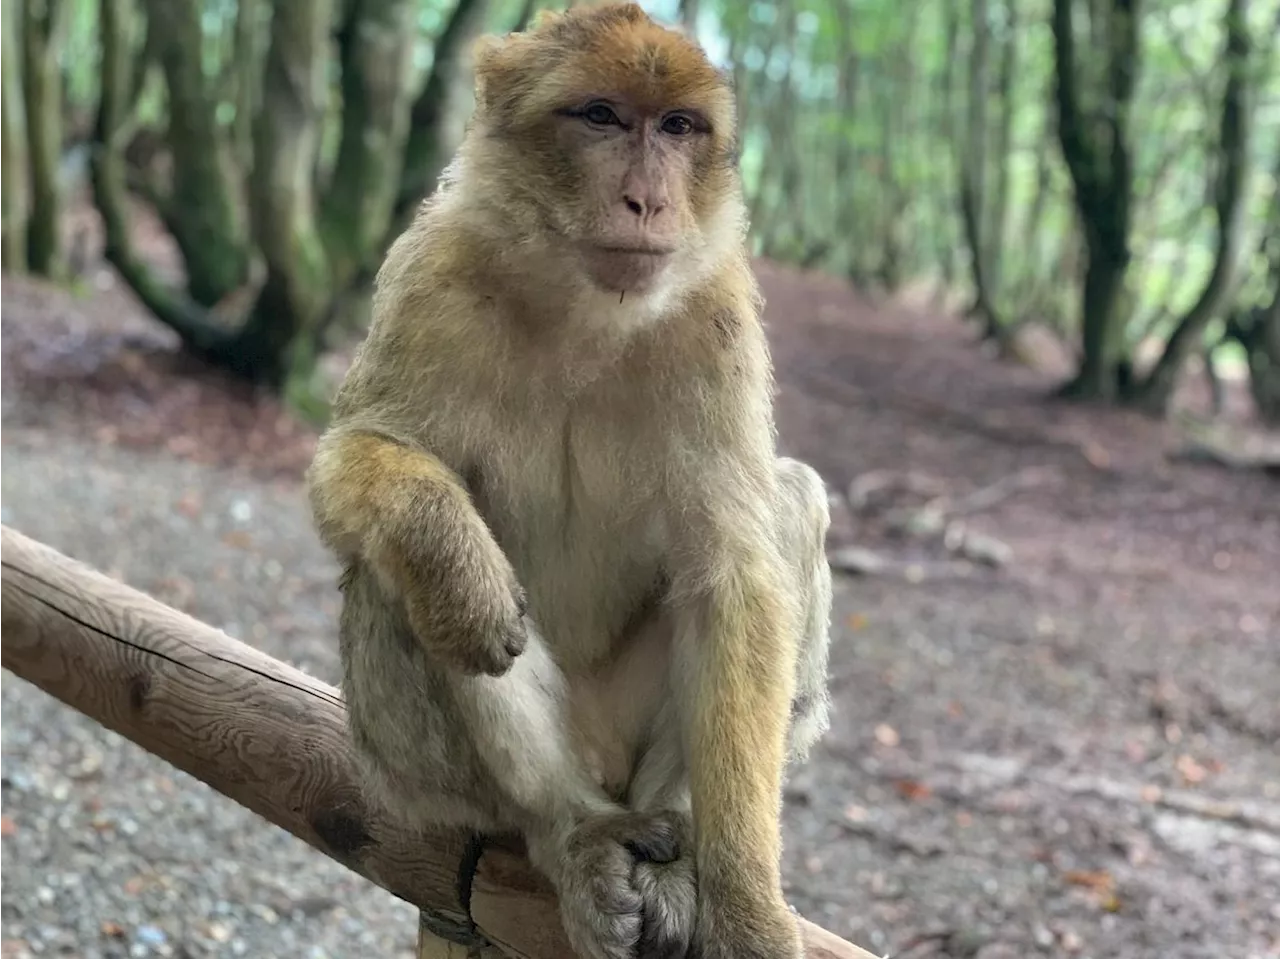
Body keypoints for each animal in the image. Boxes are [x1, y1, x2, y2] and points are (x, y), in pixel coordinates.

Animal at [304, 3, 834, 952]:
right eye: (601, 117)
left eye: (677, 126)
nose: (649, 200)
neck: (582, 309)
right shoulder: (430, 272)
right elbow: (352, 453)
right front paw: (454, 567)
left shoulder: (718, 318)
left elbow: (732, 576)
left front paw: (744, 902)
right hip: (414, 768)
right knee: (388, 575)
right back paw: (573, 826)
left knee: (790, 504)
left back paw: (676, 836)